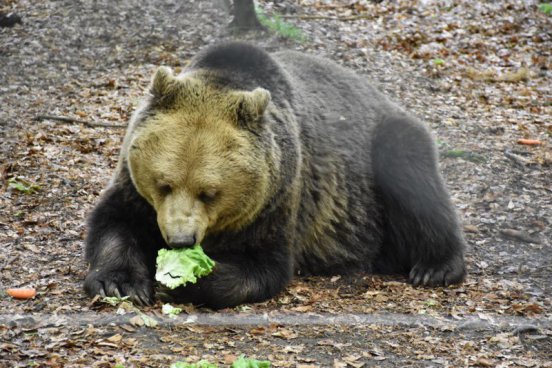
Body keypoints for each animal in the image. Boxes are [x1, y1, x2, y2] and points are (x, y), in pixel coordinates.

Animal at [84, 41, 466, 310]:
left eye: (210, 192)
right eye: (164, 184)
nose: (180, 240)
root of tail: (382, 95)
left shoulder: (278, 197)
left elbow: (265, 265)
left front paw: (189, 278)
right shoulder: (133, 188)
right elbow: (115, 223)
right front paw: (120, 282)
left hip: (378, 156)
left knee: (412, 174)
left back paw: (436, 266)